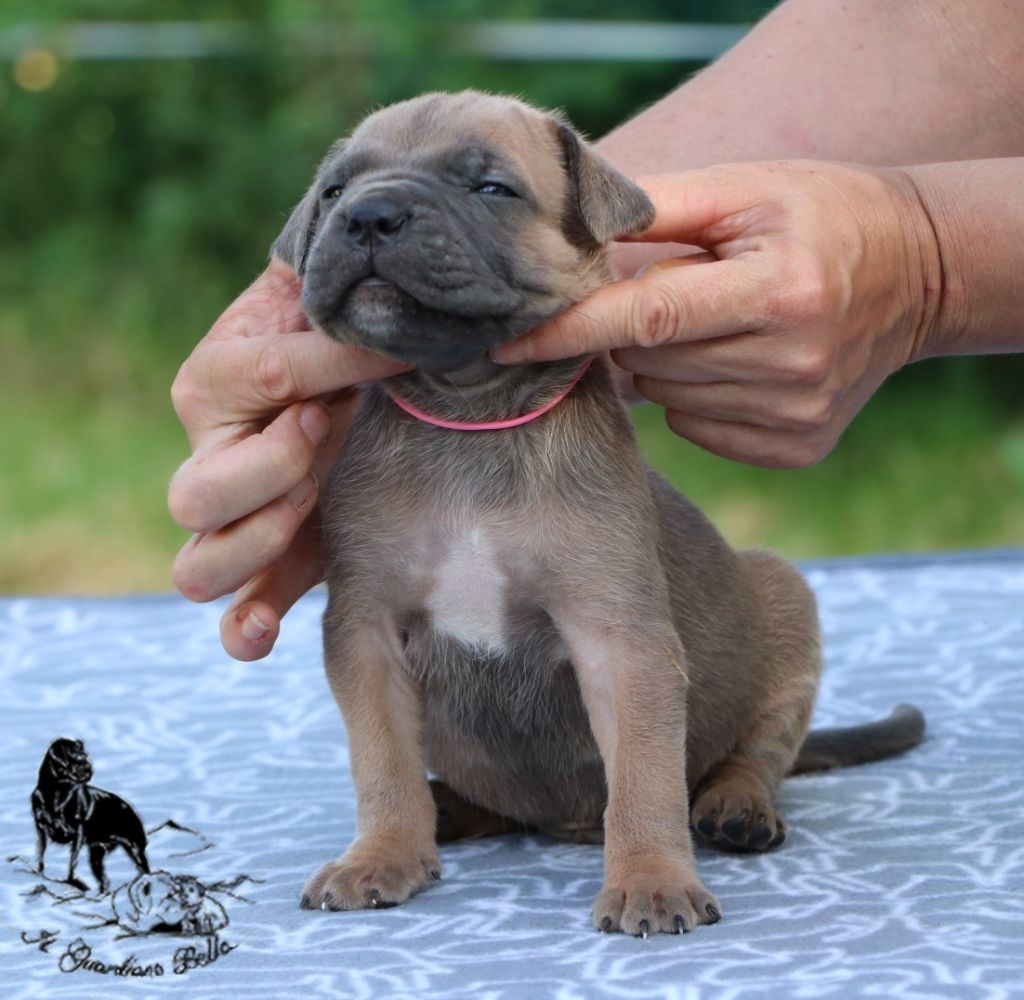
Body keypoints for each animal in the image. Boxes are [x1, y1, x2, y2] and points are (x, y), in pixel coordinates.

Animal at [31, 737, 150, 894]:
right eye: (75, 759)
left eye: (86, 757)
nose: (88, 767)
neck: (57, 794)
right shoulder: (41, 828)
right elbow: (41, 852)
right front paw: (40, 870)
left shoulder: (78, 833)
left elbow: (72, 861)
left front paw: (72, 880)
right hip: (97, 854)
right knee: (104, 879)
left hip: (135, 848)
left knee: (144, 869)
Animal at [273, 90, 925, 935]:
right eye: (332, 192)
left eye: (492, 189)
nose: (369, 216)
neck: (471, 410)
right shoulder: (365, 629)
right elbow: (383, 759)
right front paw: (381, 854)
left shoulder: (620, 637)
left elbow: (645, 775)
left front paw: (650, 878)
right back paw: (444, 809)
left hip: (785, 607)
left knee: (758, 752)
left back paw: (735, 808)